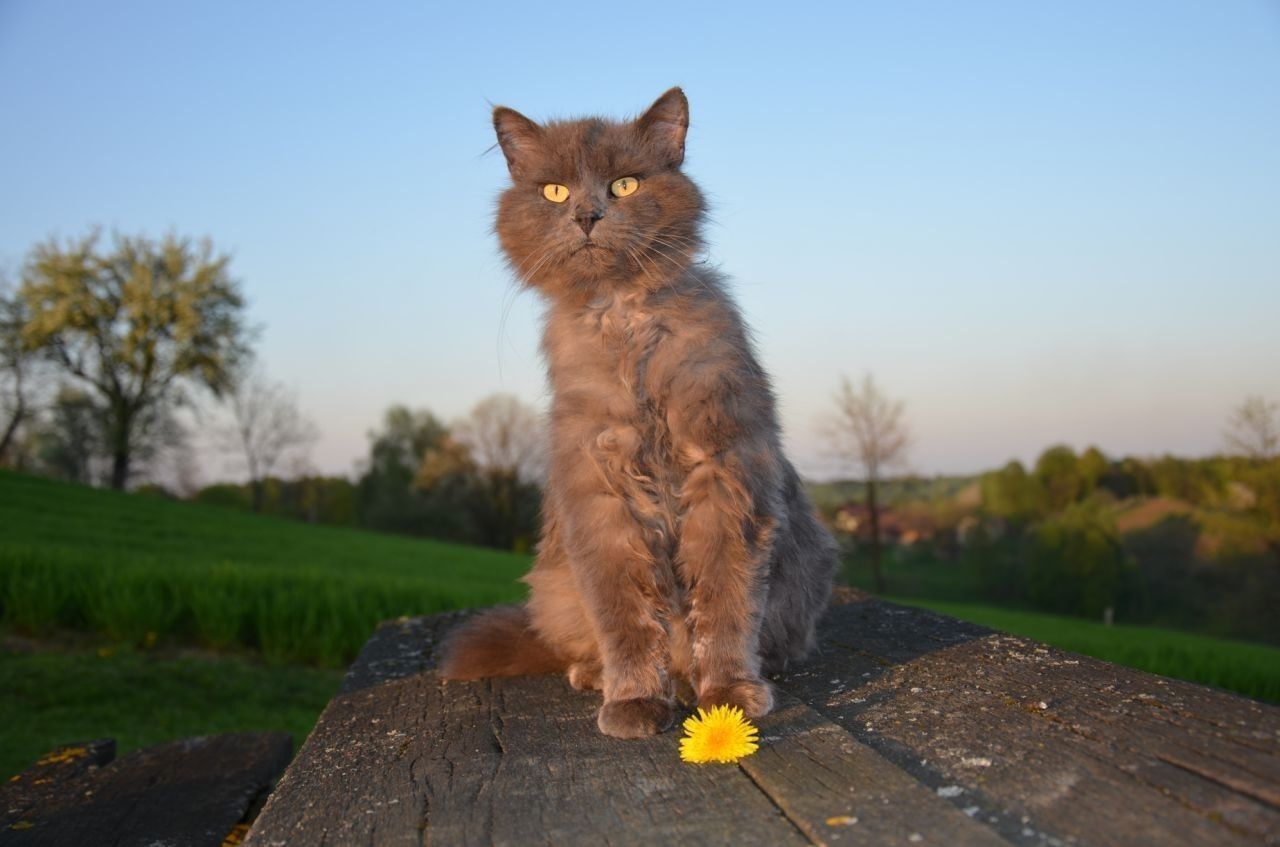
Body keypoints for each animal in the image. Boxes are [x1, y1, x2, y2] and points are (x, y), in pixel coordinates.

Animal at [440, 89, 839, 742]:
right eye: (554, 191)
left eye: (624, 184)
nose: (586, 215)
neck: (623, 317)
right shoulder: (601, 498)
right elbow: (626, 618)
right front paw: (635, 699)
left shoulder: (725, 474)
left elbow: (724, 605)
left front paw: (727, 694)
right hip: (555, 585)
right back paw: (598, 676)